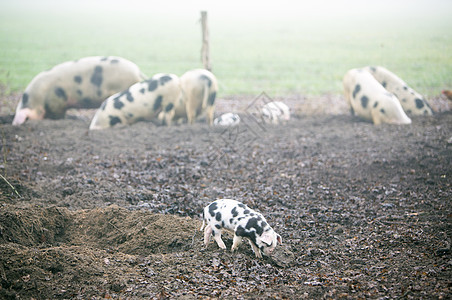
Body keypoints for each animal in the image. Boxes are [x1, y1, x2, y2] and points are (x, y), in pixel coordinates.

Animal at [12, 56, 145, 125]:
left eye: (27, 118)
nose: (14, 124)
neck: (38, 99)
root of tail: (139, 73)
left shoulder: (57, 100)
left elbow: (57, 114)